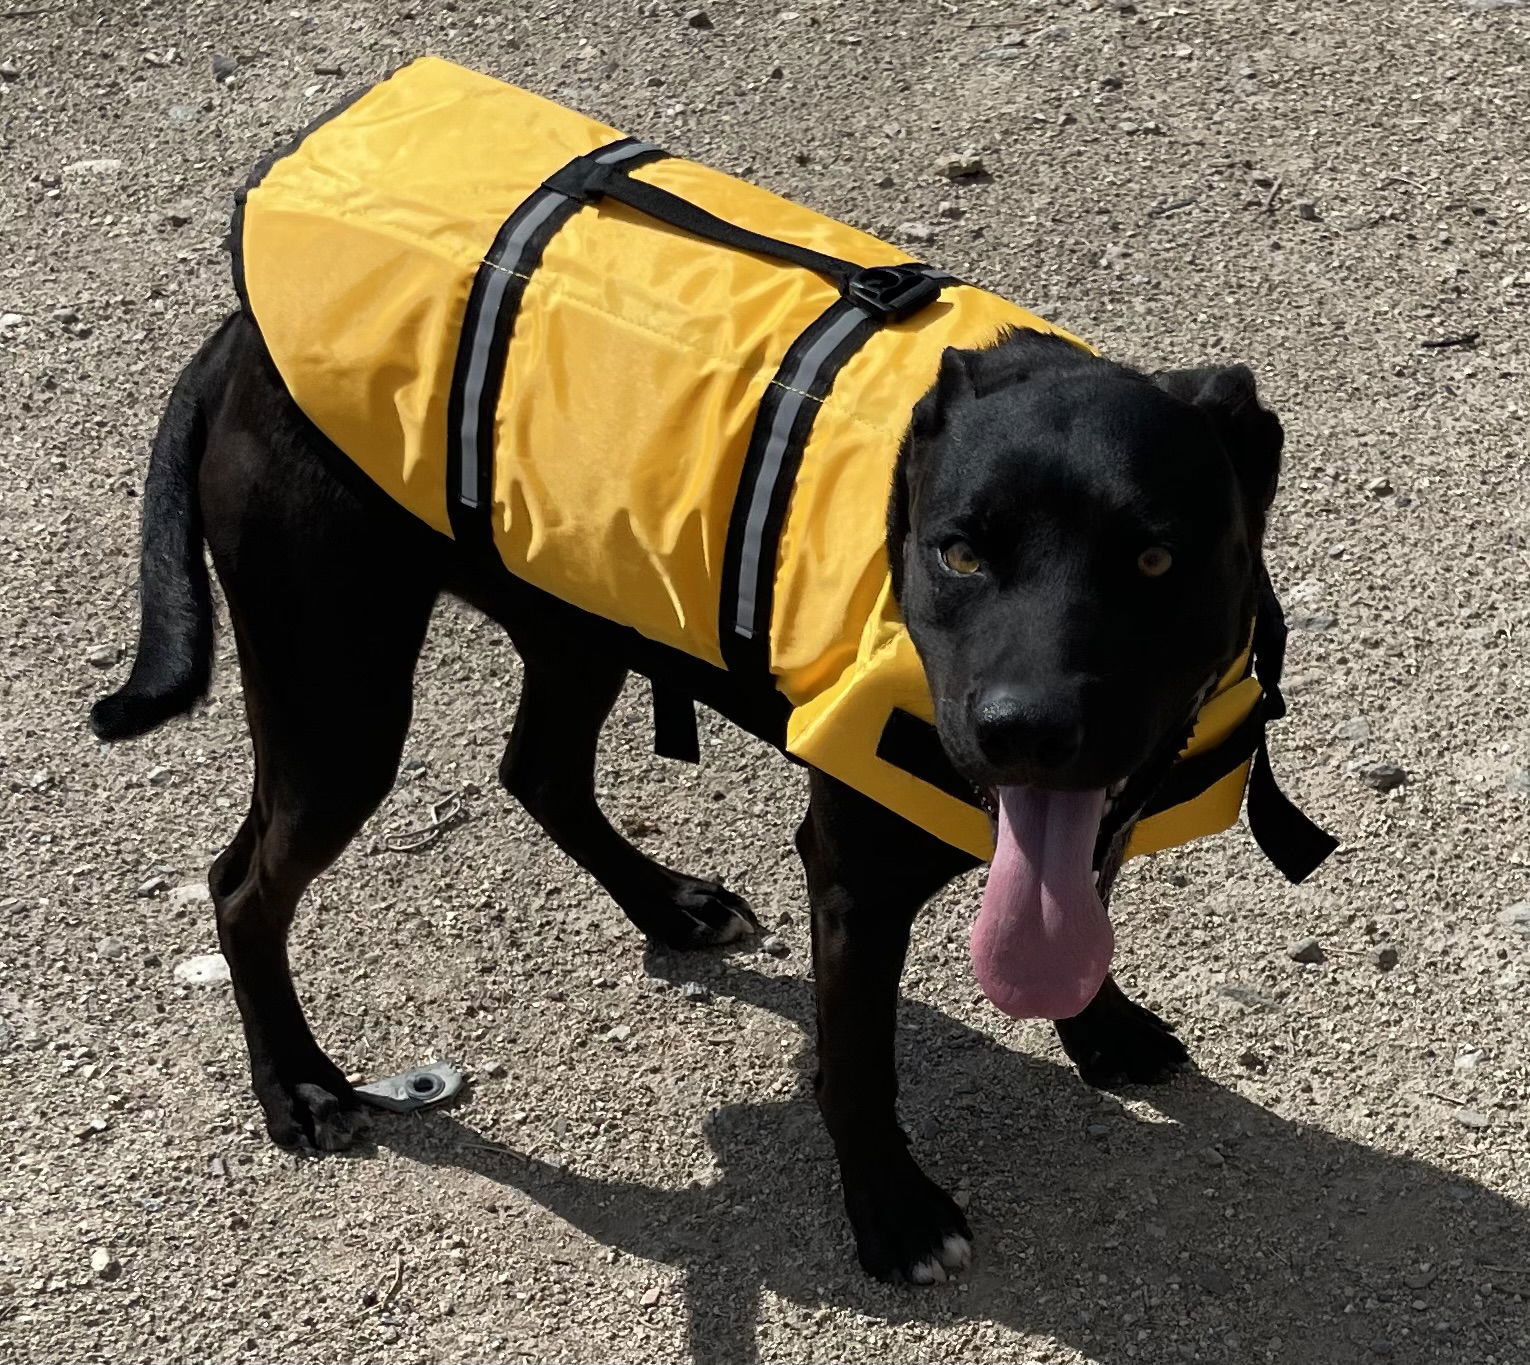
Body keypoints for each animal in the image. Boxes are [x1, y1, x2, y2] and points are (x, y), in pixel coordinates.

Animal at [95, 315, 1285, 1285]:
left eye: (1155, 558)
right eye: (958, 552)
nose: (1025, 729)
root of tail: (239, 336)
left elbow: (1077, 922)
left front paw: (1101, 1029)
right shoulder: (853, 880)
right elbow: (860, 1067)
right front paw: (893, 1214)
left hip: (575, 615)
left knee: (539, 772)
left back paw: (668, 905)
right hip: (338, 702)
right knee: (243, 885)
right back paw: (297, 1084)